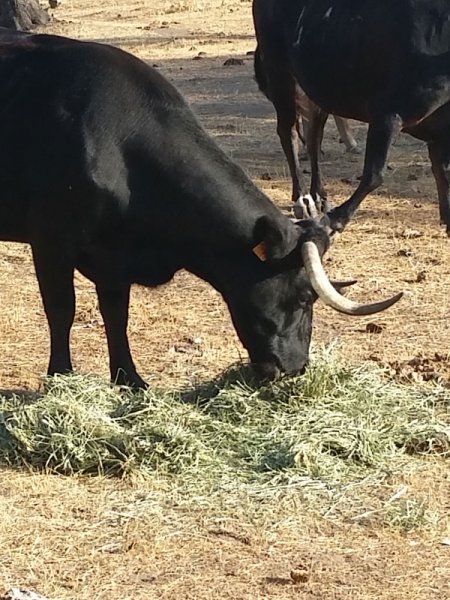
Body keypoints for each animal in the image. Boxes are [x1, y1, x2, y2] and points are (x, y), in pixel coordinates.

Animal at [0, 28, 400, 386]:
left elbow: (116, 313)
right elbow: (61, 309)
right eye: (304, 296)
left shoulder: (113, 256)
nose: (296, 368)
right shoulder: (51, 241)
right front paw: (60, 377)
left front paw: (130, 380)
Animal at [253, 0, 450, 232]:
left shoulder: (439, 130)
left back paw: (319, 195)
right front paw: (337, 218)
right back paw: (302, 199)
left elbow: (442, 171)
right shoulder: (388, 114)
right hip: (279, 71)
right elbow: (374, 174)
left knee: (313, 137)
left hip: (319, 90)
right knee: (288, 132)